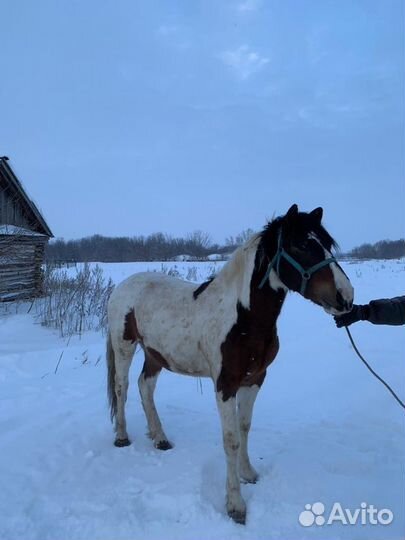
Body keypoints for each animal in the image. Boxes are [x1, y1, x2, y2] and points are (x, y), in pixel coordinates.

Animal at [106, 205, 354, 524]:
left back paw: (160, 439)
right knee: (122, 387)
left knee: (144, 387)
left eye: (326, 243)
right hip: (124, 347)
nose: (345, 296)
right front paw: (235, 505)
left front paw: (248, 473)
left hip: (155, 353)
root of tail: (122, 287)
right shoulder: (225, 385)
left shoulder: (255, 379)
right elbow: (231, 439)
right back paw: (122, 437)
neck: (243, 318)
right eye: (300, 245)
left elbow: (244, 427)